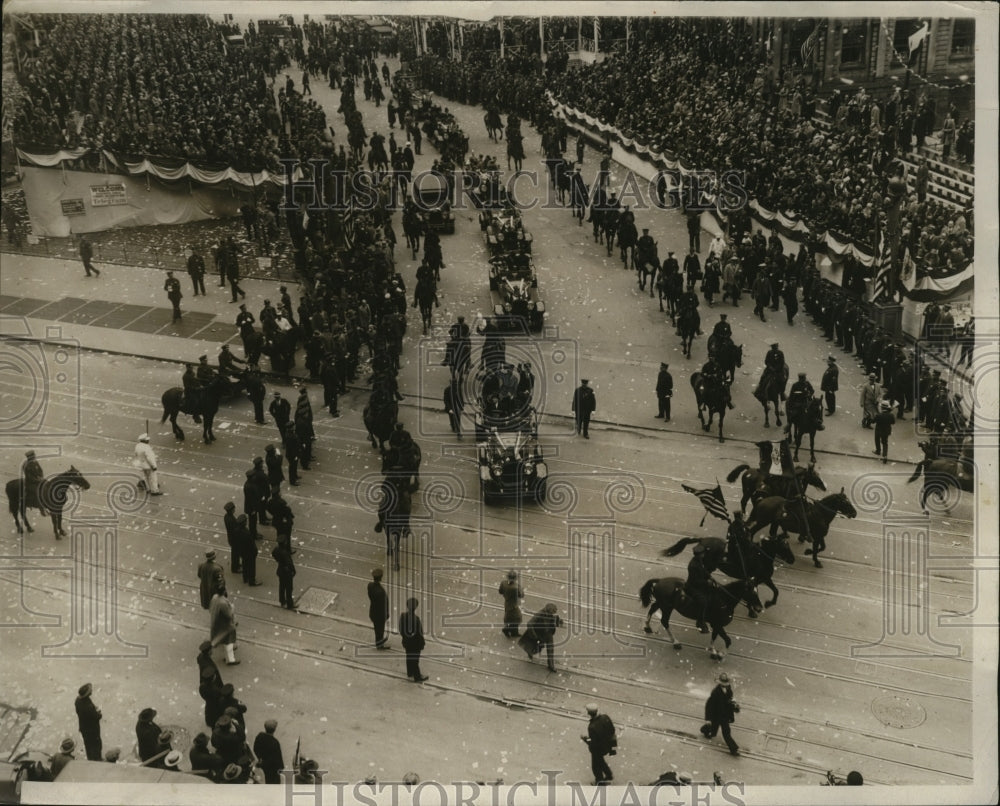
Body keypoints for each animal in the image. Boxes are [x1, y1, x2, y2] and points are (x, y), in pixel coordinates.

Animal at [664, 536, 796, 612]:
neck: (760, 557)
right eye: (784, 546)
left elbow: (775, 590)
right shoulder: (760, 579)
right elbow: (767, 591)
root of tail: (701, 540)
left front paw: (768, 603)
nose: (792, 560)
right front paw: (758, 607)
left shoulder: (764, 578)